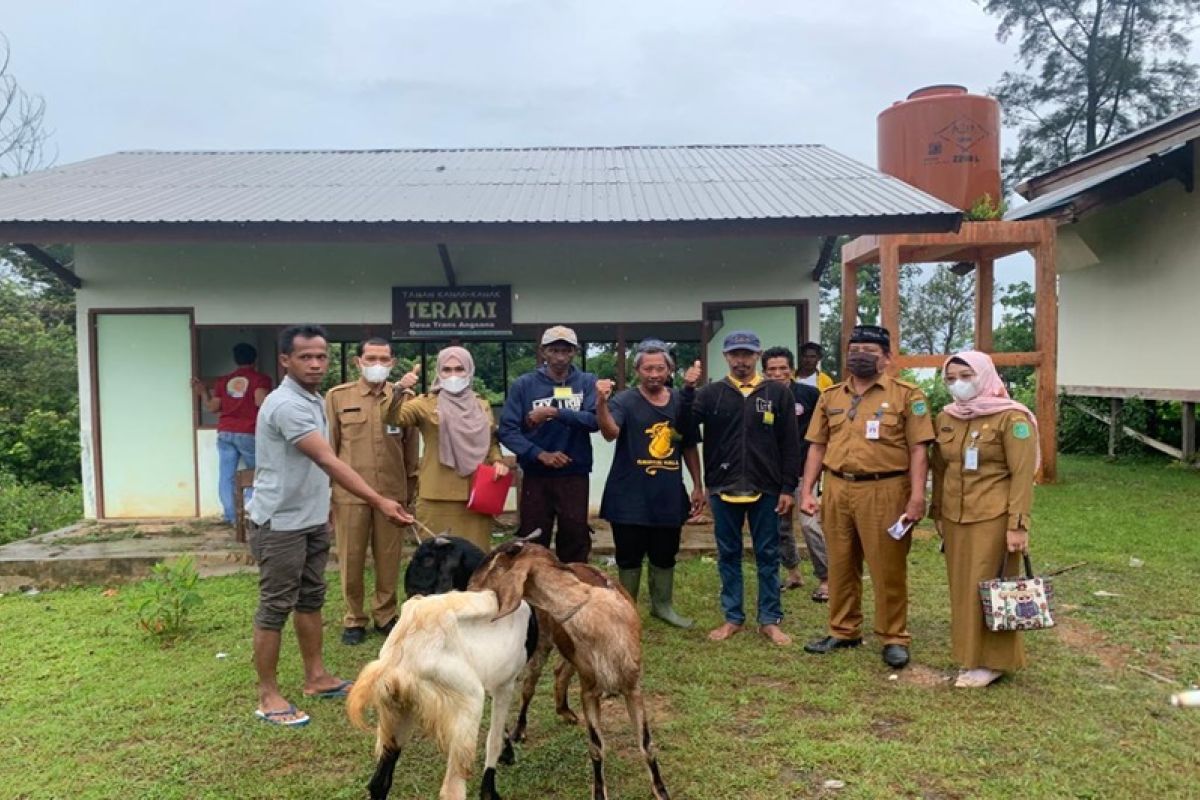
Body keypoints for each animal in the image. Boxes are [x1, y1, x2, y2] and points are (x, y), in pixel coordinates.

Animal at [348, 587, 535, 800]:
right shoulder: (505, 684)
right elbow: (493, 740)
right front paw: (492, 786)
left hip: (397, 711)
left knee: (379, 782)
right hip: (466, 701)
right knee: (451, 790)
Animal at [468, 542, 672, 796]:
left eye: (495, 563)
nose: (469, 587)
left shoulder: (633, 686)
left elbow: (646, 743)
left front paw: (661, 791)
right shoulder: (589, 690)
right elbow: (596, 746)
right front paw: (599, 793)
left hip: (572, 656)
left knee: (560, 671)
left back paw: (564, 710)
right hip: (544, 643)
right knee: (529, 687)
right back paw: (520, 730)